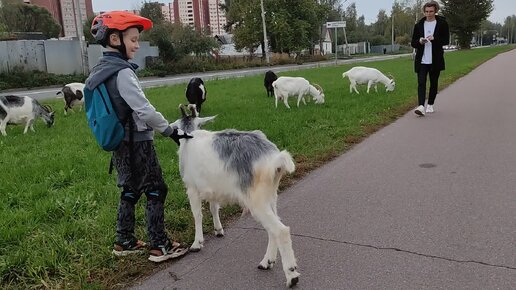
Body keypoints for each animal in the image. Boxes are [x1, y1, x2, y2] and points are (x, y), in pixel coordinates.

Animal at [169, 104, 298, 288]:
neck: (189, 138)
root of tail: (274, 159)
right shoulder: (213, 188)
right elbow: (213, 207)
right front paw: (218, 230)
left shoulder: (191, 188)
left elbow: (197, 214)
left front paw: (197, 243)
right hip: (270, 196)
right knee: (273, 228)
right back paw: (267, 262)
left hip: (256, 200)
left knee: (280, 230)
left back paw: (292, 275)